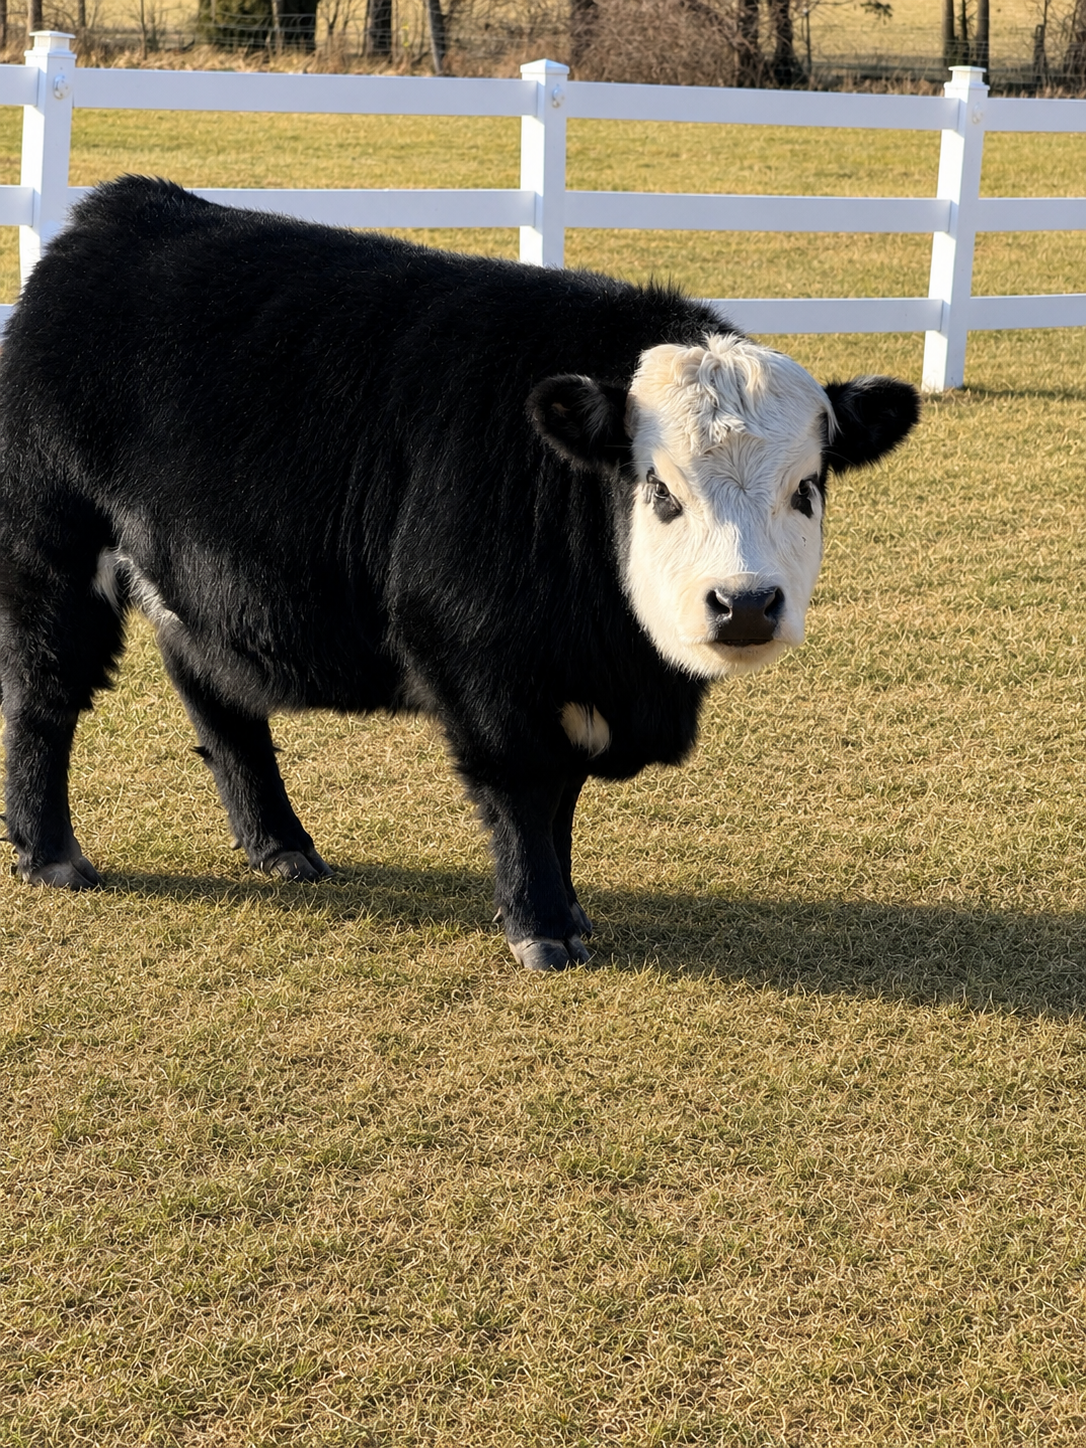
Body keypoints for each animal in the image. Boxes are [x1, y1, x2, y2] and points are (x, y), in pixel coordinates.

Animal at [0, 176, 919, 970]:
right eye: (660, 489)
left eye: (807, 488)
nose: (745, 605)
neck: (622, 662)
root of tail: (123, 211)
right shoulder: (481, 663)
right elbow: (522, 789)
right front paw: (541, 927)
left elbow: (564, 796)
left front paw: (569, 907)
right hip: (50, 551)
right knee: (44, 694)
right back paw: (52, 854)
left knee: (216, 694)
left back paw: (280, 844)